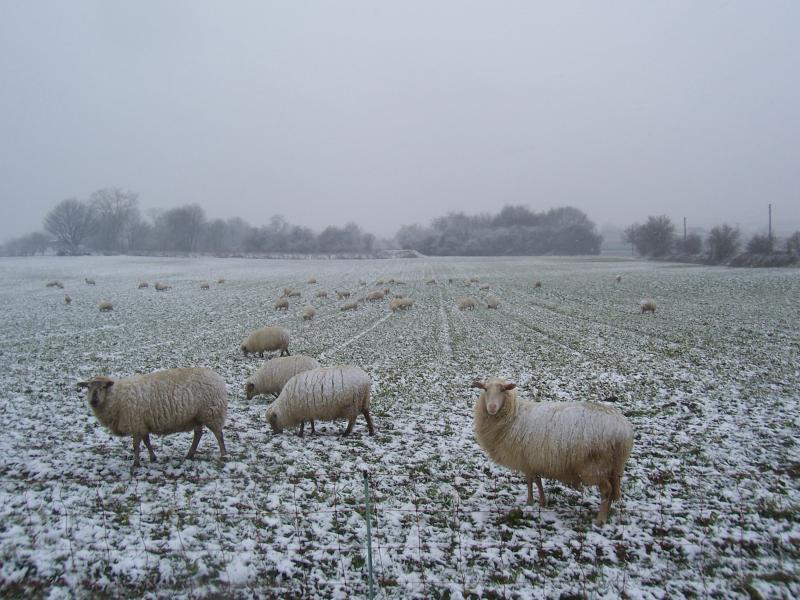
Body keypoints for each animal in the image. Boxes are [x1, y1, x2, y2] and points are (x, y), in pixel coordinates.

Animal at [77, 368, 228, 472]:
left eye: (103, 387)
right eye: (88, 387)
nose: (94, 400)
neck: (116, 397)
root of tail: (218, 378)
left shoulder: (136, 423)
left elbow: (136, 445)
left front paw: (136, 463)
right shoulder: (142, 424)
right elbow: (147, 442)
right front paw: (153, 457)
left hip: (211, 413)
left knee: (219, 435)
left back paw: (223, 455)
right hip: (197, 417)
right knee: (198, 434)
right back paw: (190, 455)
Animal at [472, 380, 636, 524]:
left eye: (503, 390)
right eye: (485, 389)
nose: (492, 408)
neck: (513, 416)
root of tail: (624, 429)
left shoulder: (525, 459)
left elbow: (530, 481)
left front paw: (530, 502)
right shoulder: (533, 459)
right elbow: (537, 480)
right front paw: (542, 502)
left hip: (595, 465)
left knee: (607, 490)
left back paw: (600, 520)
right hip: (614, 466)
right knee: (613, 490)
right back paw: (607, 513)